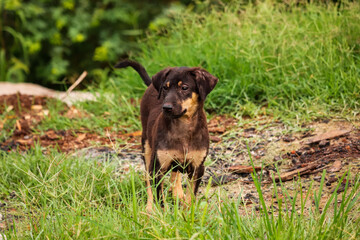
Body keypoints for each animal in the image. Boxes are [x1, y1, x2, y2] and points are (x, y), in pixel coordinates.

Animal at [114, 60, 218, 212]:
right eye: (165, 88)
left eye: (184, 88)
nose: (166, 107)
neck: (182, 126)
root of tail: (151, 85)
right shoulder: (158, 167)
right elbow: (159, 196)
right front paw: (163, 213)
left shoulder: (198, 167)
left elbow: (191, 194)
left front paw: (187, 212)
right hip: (146, 149)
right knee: (148, 181)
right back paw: (149, 207)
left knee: (175, 175)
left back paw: (178, 194)